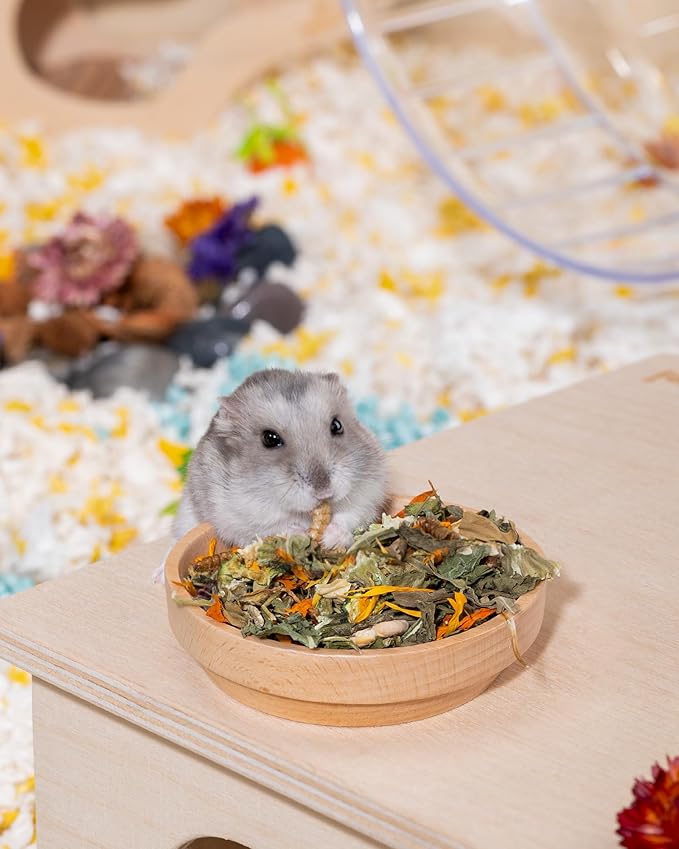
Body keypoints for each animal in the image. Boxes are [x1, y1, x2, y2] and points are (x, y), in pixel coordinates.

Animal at [172, 368, 390, 550]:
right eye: (270, 439)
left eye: (337, 426)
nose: (324, 492)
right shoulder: (241, 515)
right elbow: (278, 525)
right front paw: (302, 533)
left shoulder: (369, 494)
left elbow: (349, 515)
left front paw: (330, 538)